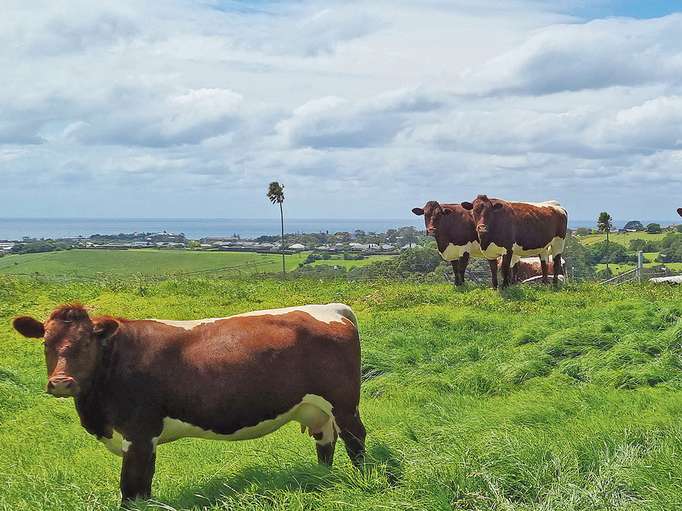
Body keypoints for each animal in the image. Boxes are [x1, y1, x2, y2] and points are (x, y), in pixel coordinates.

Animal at [11, 302, 366, 506]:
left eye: (86, 343)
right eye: (46, 343)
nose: (61, 382)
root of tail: (333, 308)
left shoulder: (139, 434)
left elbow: (131, 489)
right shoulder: (143, 439)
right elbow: (143, 487)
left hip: (343, 402)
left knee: (356, 439)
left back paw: (363, 478)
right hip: (317, 409)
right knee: (325, 442)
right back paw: (320, 479)